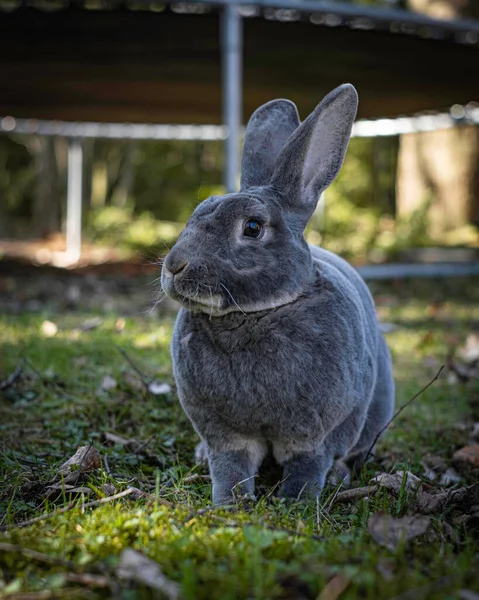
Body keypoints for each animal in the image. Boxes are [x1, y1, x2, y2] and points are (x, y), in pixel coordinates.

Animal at [161, 83, 394, 506]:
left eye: (252, 228)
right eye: (197, 212)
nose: (174, 266)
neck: (253, 314)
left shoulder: (314, 436)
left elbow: (307, 465)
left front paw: (295, 502)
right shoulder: (225, 434)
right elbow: (231, 466)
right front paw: (229, 503)